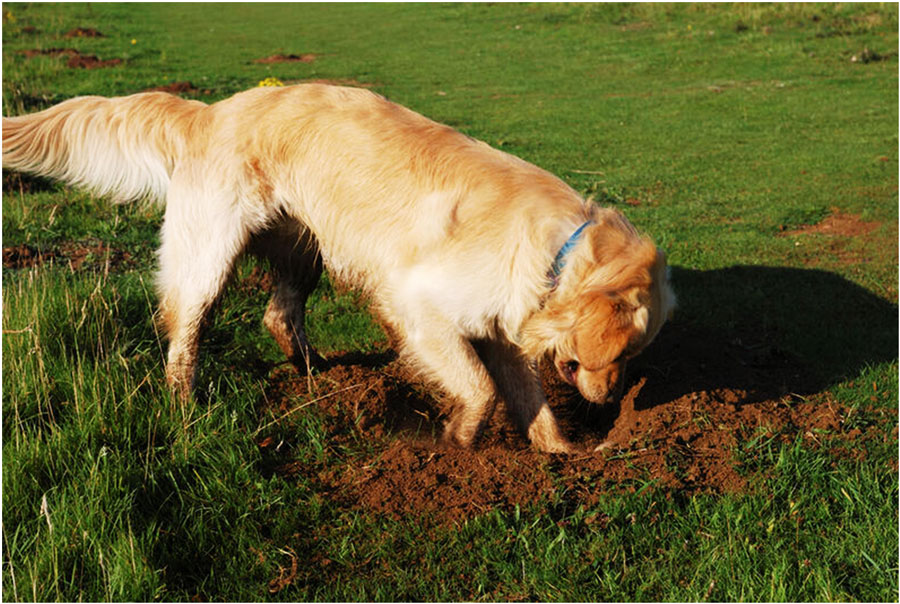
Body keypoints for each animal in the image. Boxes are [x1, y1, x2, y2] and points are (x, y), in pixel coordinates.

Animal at [1, 85, 676, 452]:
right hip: (209, 256)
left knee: (278, 316)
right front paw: (458, 442)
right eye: (621, 353)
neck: (560, 250)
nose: (613, 400)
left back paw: (317, 377)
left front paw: (563, 453)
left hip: (305, 249)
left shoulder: (501, 329)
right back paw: (186, 408)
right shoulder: (417, 306)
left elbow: (527, 397)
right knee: (184, 335)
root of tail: (211, 112)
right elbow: (481, 390)